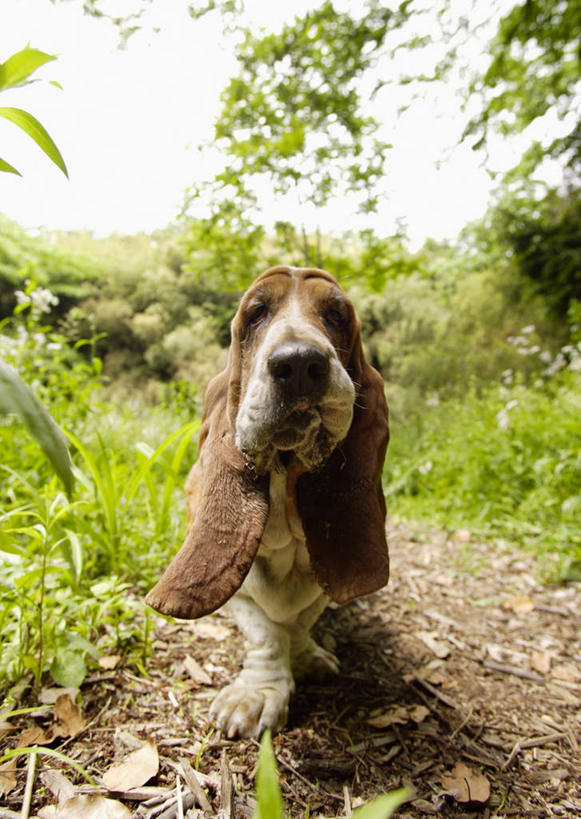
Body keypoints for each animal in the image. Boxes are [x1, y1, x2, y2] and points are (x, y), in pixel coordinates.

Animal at [145, 266, 390, 740]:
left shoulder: (320, 585)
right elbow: (265, 632)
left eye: (335, 314)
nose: (298, 364)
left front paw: (308, 656)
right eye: (256, 313)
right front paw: (256, 694)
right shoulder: (240, 592)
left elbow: (299, 622)